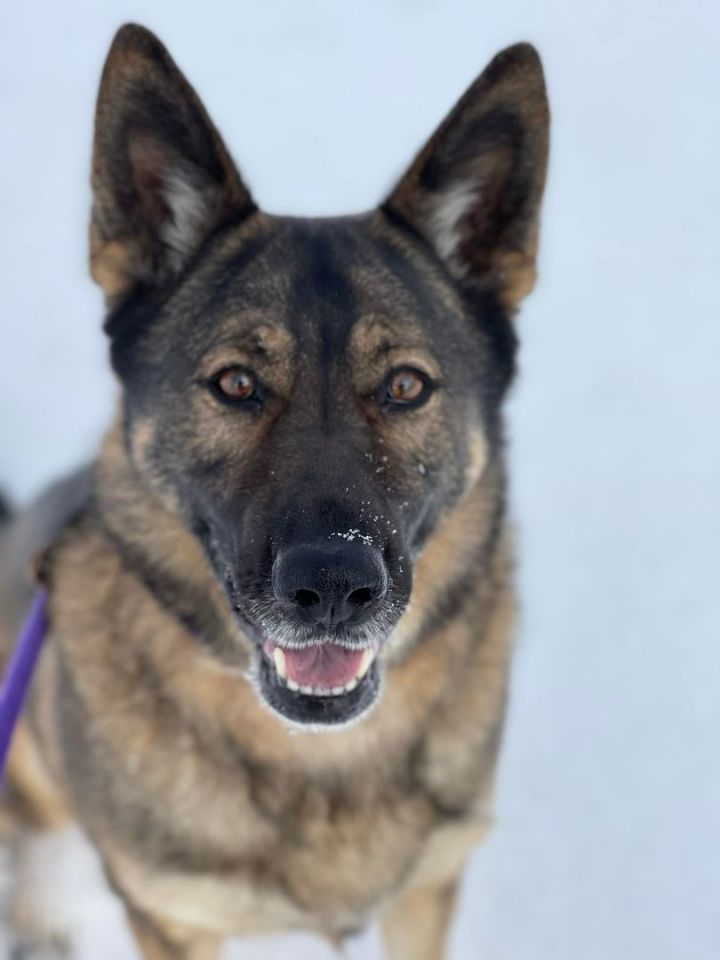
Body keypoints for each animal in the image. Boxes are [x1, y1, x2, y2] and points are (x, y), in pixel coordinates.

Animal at [0, 24, 548, 960]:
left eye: (405, 386)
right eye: (235, 384)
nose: (332, 584)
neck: (314, 755)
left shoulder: (428, 890)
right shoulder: (173, 918)